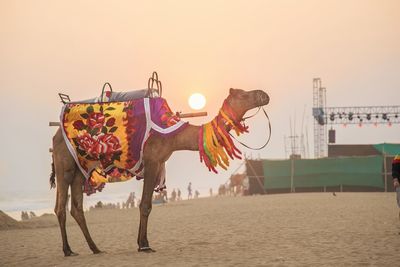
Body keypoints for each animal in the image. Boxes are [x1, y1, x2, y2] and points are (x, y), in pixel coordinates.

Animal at [49, 88, 268, 255]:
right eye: (243, 94)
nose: (264, 94)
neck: (173, 134)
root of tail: (57, 132)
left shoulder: (157, 163)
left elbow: (144, 203)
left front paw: (140, 243)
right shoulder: (152, 161)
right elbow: (146, 204)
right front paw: (145, 245)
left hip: (81, 169)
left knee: (76, 207)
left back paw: (95, 248)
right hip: (65, 163)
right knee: (60, 206)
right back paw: (68, 250)